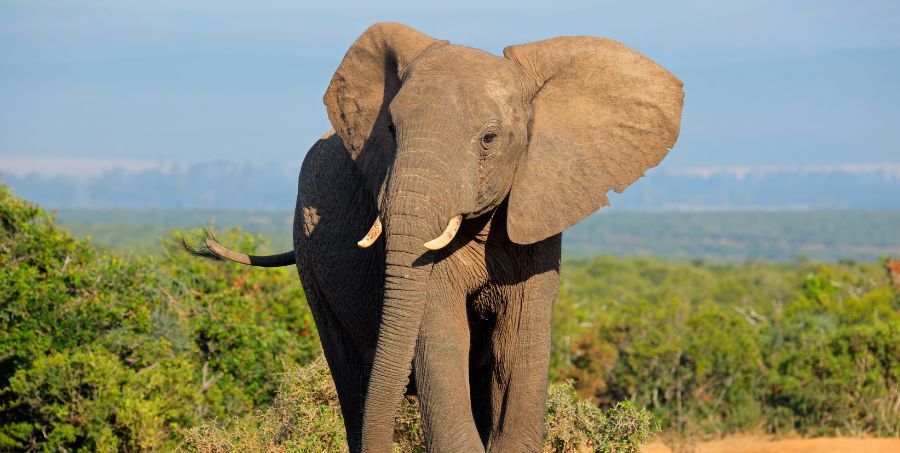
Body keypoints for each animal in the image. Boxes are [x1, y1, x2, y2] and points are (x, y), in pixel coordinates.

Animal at [186, 22, 683, 452]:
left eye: (489, 138)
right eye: (390, 129)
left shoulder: (538, 211)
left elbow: (517, 342)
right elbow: (441, 337)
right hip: (309, 255)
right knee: (349, 374)